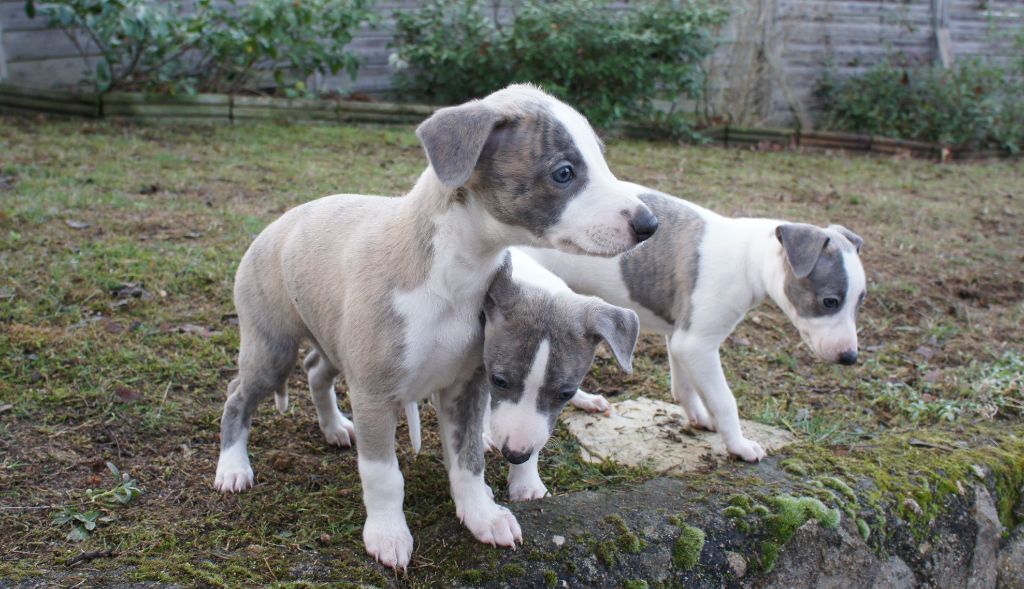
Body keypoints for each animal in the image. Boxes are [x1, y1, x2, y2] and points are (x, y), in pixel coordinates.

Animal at [520, 187, 864, 460]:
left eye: (860, 300)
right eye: (830, 301)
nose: (850, 357)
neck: (747, 257)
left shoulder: (680, 338)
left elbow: (685, 385)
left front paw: (700, 417)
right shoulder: (697, 345)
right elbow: (725, 399)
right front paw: (739, 445)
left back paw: (584, 400)